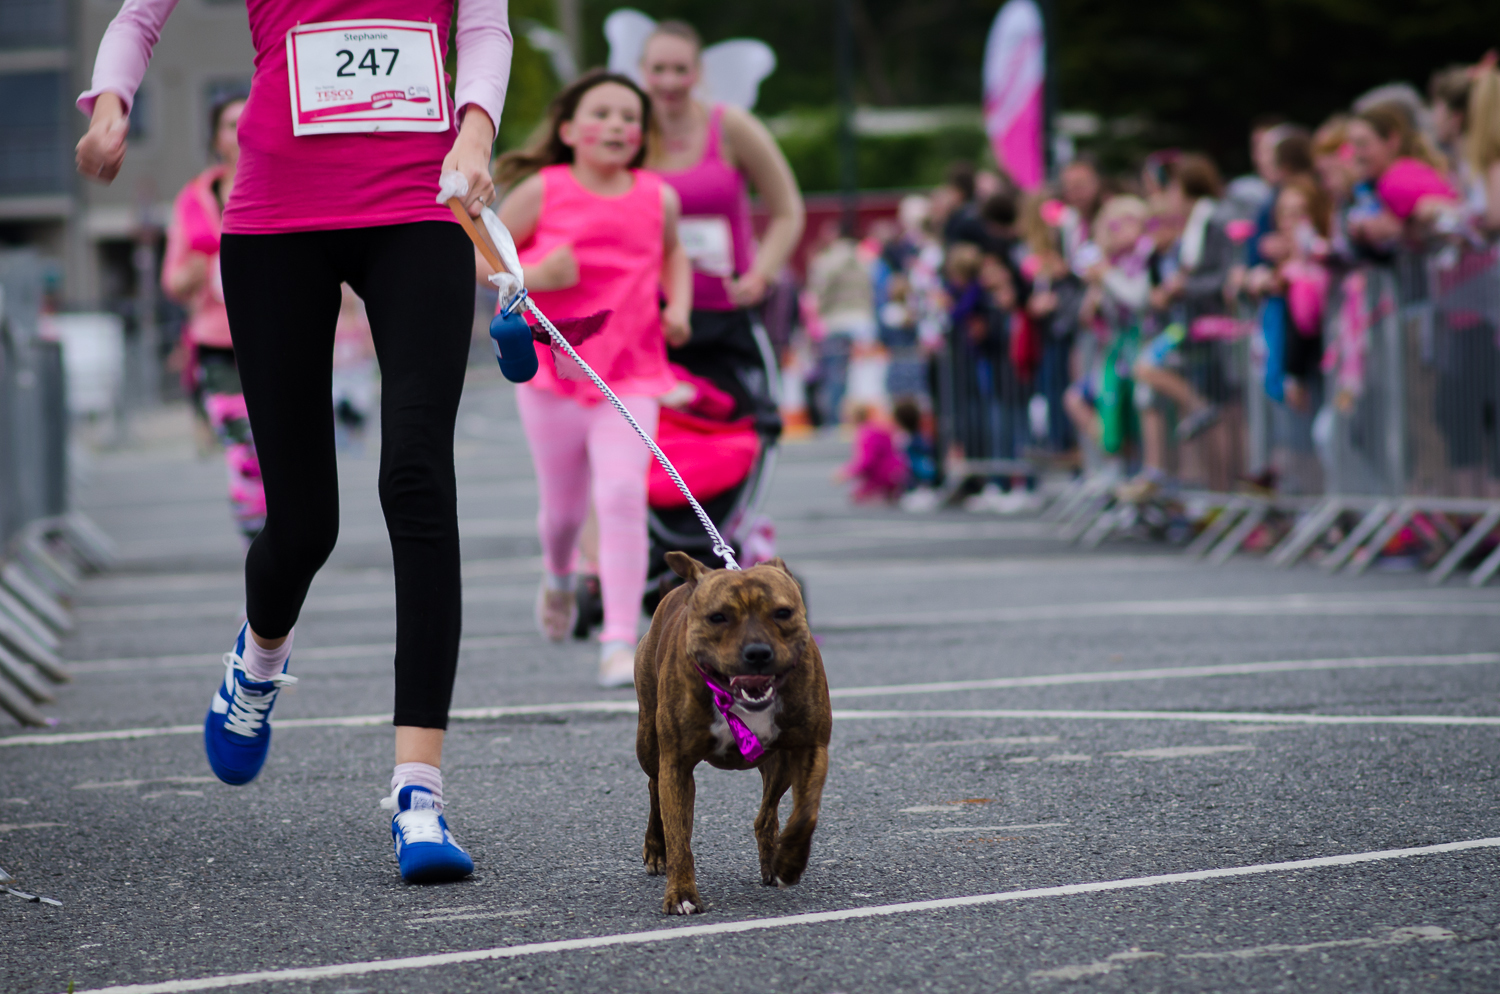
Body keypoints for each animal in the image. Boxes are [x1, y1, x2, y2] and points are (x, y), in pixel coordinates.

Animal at [633, 551, 834, 917]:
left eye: (783, 612)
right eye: (718, 617)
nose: (757, 652)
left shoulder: (811, 748)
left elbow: (805, 813)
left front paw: (790, 862)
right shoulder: (677, 765)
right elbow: (679, 834)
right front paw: (681, 893)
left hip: (779, 764)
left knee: (766, 815)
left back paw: (772, 862)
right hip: (649, 745)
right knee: (654, 787)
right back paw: (656, 849)